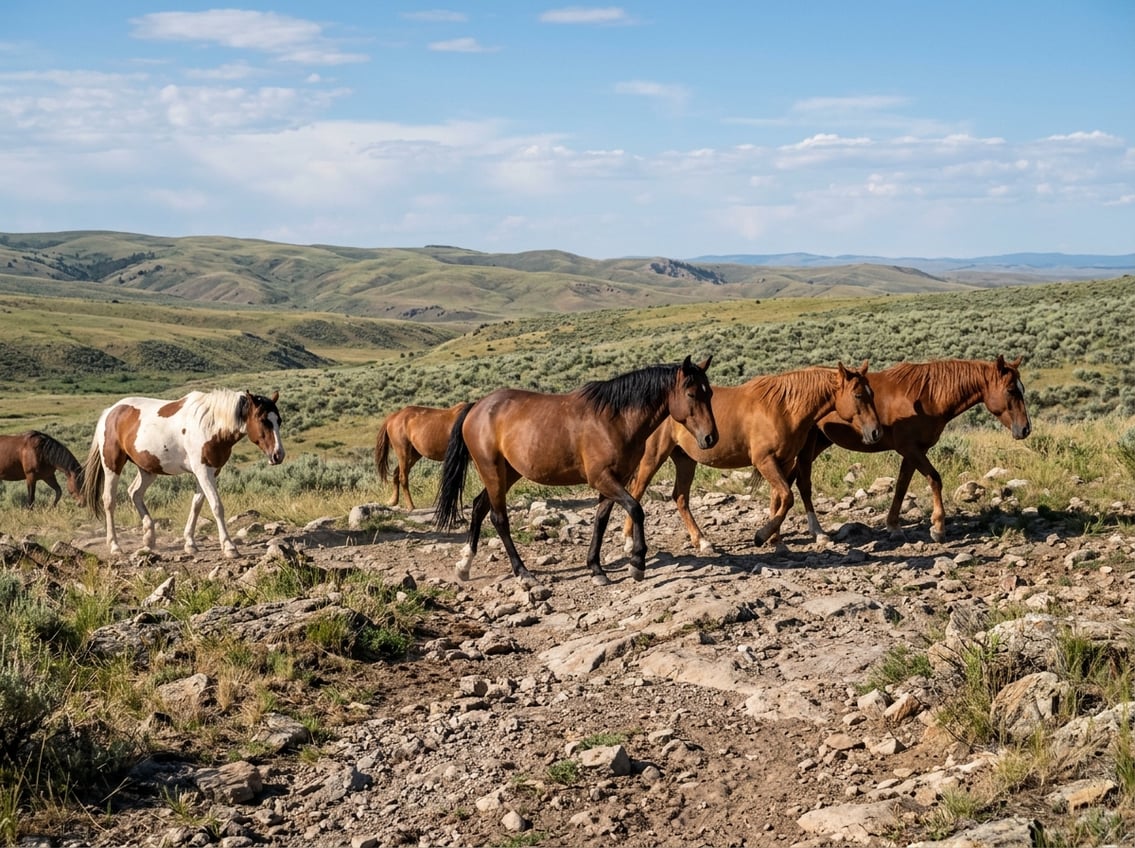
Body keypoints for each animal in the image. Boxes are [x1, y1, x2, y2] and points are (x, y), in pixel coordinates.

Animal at [82, 389, 285, 558]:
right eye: (263, 420)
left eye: (279, 421)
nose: (278, 455)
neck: (210, 426)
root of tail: (111, 411)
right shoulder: (203, 471)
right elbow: (216, 506)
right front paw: (229, 547)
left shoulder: (208, 472)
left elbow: (196, 505)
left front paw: (190, 543)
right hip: (112, 465)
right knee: (109, 501)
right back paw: (115, 545)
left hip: (148, 470)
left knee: (134, 493)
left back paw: (149, 537)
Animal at [434, 356, 717, 586]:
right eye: (692, 394)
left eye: (710, 393)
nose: (710, 438)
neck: (615, 420)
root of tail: (477, 407)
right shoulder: (602, 479)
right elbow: (636, 509)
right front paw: (637, 563)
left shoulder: (615, 480)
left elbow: (601, 520)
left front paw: (597, 569)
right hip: (492, 469)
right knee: (498, 518)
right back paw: (523, 573)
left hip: (508, 472)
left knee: (479, 506)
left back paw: (464, 566)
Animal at [623, 361, 881, 553]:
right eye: (858, 395)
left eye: (872, 393)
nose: (876, 432)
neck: (783, 408)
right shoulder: (764, 461)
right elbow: (787, 497)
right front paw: (761, 536)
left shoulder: (783, 461)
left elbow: (779, 498)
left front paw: (776, 540)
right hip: (653, 457)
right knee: (637, 491)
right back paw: (628, 541)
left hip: (685, 459)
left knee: (680, 497)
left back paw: (702, 541)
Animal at [793, 355, 1031, 543]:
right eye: (1011, 390)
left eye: (1022, 389)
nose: (1025, 428)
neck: (927, 397)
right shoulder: (909, 449)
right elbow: (935, 479)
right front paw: (938, 528)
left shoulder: (914, 452)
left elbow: (901, 486)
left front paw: (893, 526)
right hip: (807, 445)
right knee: (802, 482)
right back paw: (817, 532)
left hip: (819, 442)